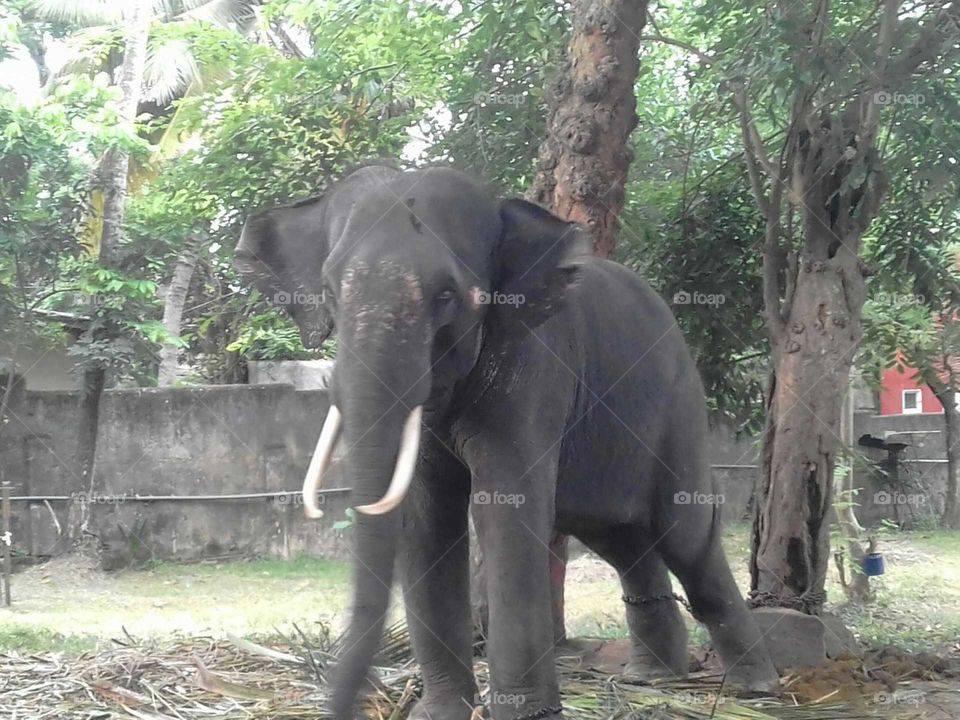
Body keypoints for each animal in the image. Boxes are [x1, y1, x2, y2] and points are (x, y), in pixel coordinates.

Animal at [235, 164, 779, 720]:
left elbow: (504, 507)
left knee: (684, 535)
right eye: (327, 291)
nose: (354, 701)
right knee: (622, 538)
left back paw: (754, 686)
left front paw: (524, 713)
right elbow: (426, 516)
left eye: (447, 296)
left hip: (680, 406)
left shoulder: (532, 367)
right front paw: (440, 714)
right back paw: (649, 677)